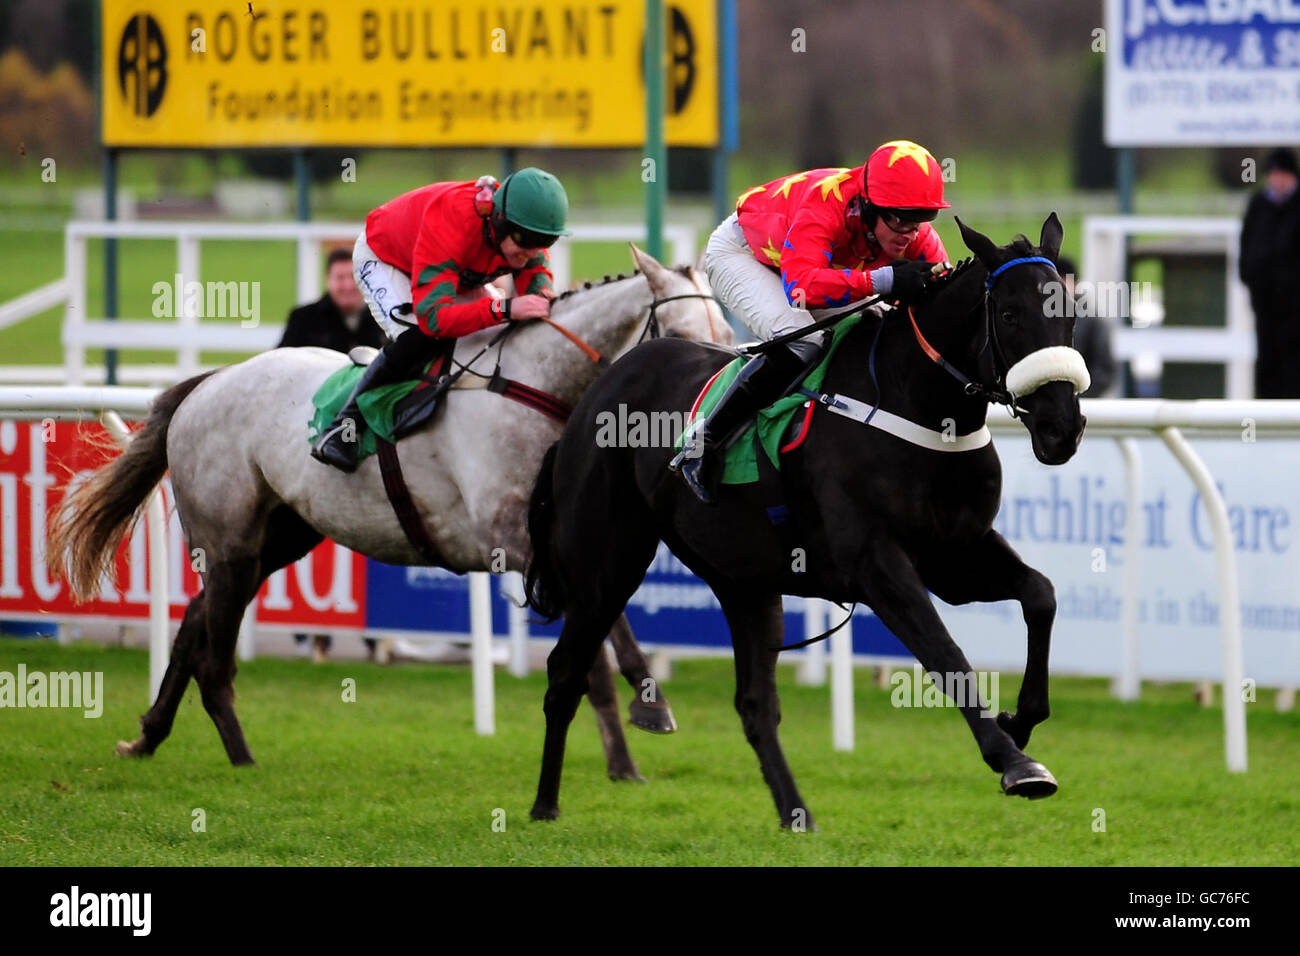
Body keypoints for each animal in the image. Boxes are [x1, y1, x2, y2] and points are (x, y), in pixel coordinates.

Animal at [525, 213, 1086, 827]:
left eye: (1072, 310)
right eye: (1009, 315)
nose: (1062, 428)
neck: (917, 405)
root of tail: (589, 398)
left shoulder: (956, 555)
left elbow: (1041, 595)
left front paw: (1021, 721)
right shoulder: (877, 565)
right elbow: (947, 654)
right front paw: (1015, 762)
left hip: (743, 581)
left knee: (754, 705)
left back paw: (797, 814)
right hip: (607, 565)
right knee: (564, 674)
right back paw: (545, 805)